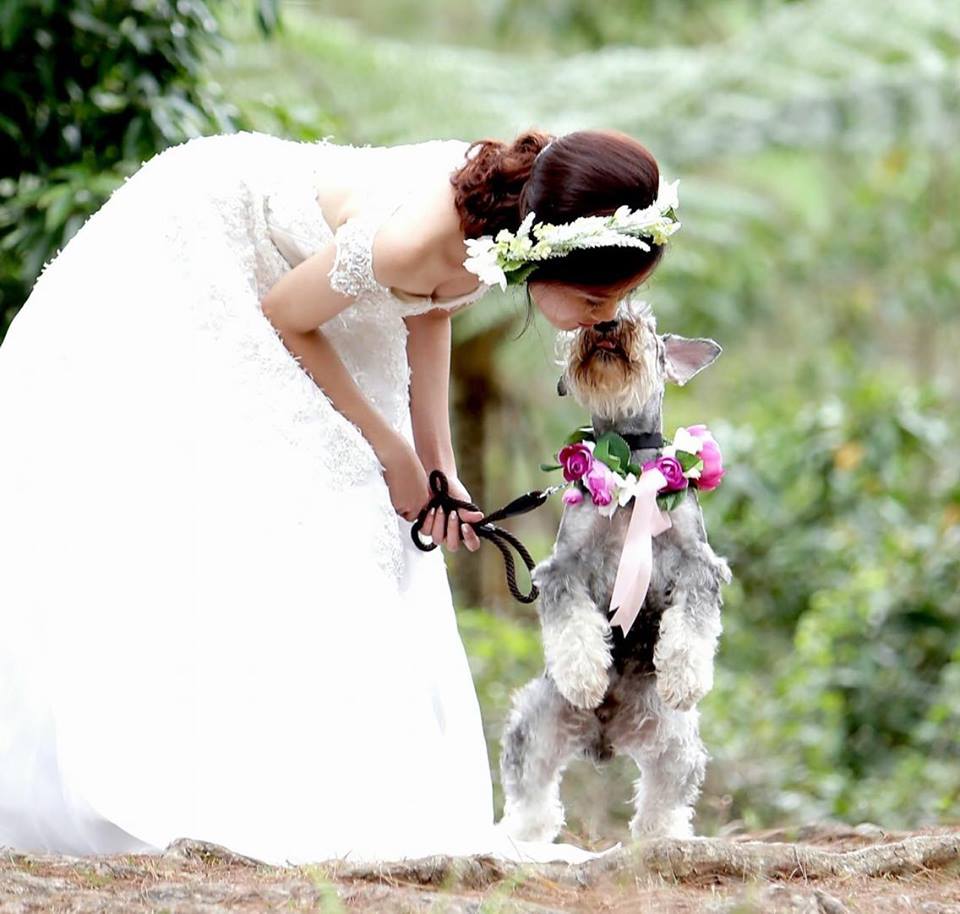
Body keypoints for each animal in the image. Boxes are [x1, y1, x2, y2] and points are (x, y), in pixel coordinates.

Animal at [498, 300, 732, 840]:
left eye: (646, 320)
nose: (606, 324)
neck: (625, 458)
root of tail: (604, 737)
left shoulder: (697, 565)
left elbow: (692, 627)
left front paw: (684, 679)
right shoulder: (565, 568)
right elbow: (574, 627)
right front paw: (586, 677)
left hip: (677, 743)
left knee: (663, 800)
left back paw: (663, 838)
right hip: (534, 723)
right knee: (531, 792)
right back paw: (520, 837)